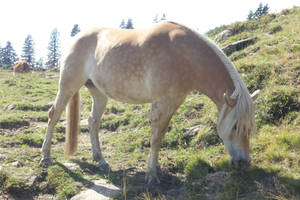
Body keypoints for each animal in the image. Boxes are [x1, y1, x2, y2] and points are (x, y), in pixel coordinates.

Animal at [39, 21, 260, 186]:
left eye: (250, 128)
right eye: (235, 126)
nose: (243, 163)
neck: (184, 55)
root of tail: (75, 39)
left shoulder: (174, 102)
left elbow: (160, 134)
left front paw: (156, 168)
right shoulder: (161, 102)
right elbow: (155, 138)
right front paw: (151, 176)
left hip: (99, 93)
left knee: (93, 122)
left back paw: (100, 160)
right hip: (68, 87)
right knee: (53, 115)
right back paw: (45, 156)